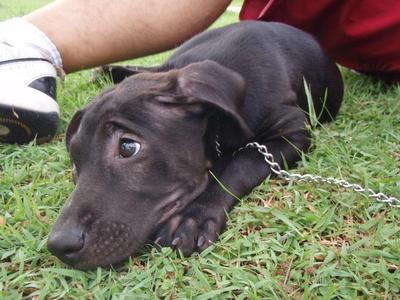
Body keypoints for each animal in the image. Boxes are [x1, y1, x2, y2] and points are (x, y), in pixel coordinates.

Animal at [47, 21, 344, 270]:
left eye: (128, 147)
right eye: (75, 165)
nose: (59, 245)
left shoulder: (292, 131)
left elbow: (242, 161)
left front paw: (194, 217)